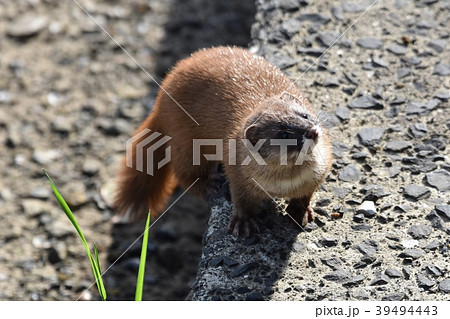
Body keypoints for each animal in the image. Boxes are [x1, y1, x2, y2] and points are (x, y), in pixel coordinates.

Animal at [114, 47, 332, 238]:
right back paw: (209, 183)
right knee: (185, 174)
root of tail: (162, 94)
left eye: (304, 114)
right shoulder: (238, 174)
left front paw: (299, 212)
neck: (283, 184)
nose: (312, 132)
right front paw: (244, 223)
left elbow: (305, 195)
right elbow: (242, 201)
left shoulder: (320, 172)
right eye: (284, 134)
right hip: (186, 142)